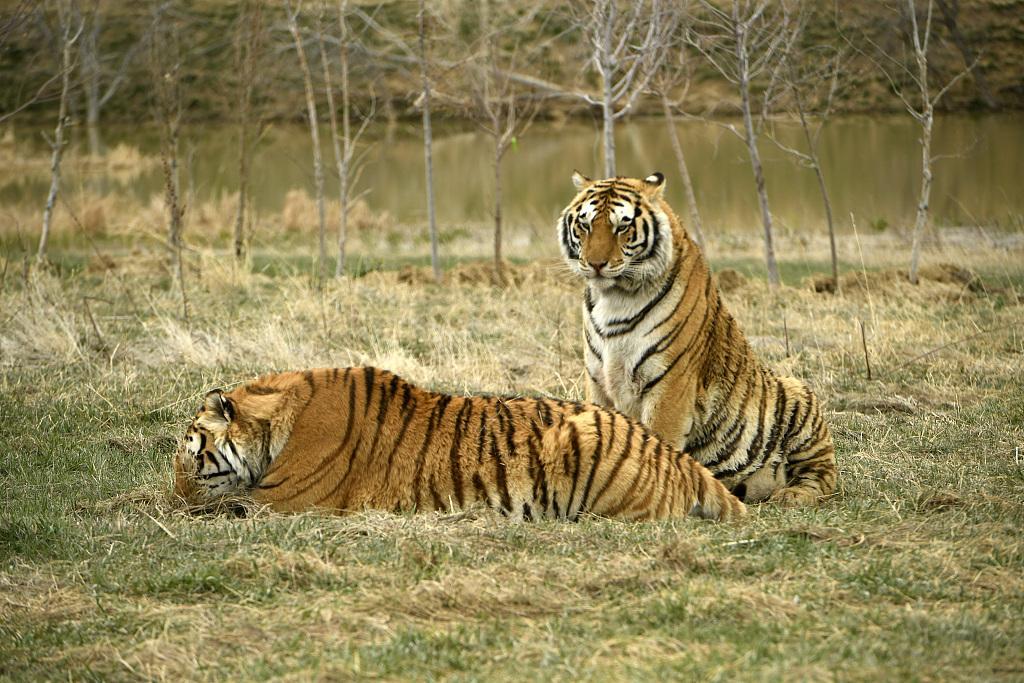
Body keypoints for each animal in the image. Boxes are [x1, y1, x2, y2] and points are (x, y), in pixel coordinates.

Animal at [561, 172, 839, 507]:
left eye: (622, 226)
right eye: (585, 225)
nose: (596, 264)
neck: (614, 298)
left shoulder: (671, 382)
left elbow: (660, 441)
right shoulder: (598, 379)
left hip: (800, 399)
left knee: (823, 476)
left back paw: (791, 495)